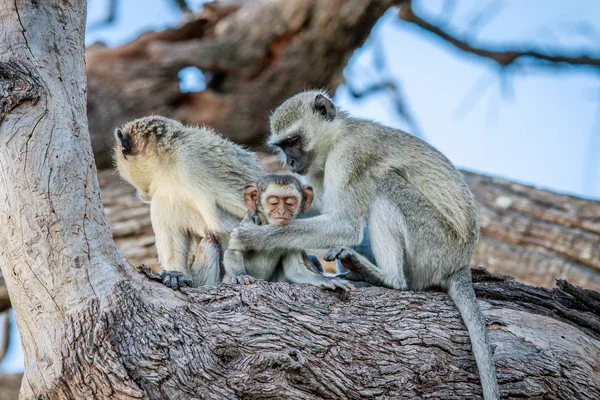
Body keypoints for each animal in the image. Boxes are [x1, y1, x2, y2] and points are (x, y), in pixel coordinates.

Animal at [225, 173, 356, 292]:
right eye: (273, 202)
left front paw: (326, 280)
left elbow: (295, 271)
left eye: (290, 202)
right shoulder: (251, 221)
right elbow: (234, 250)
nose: (281, 212)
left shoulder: (292, 240)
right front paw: (240, 274)